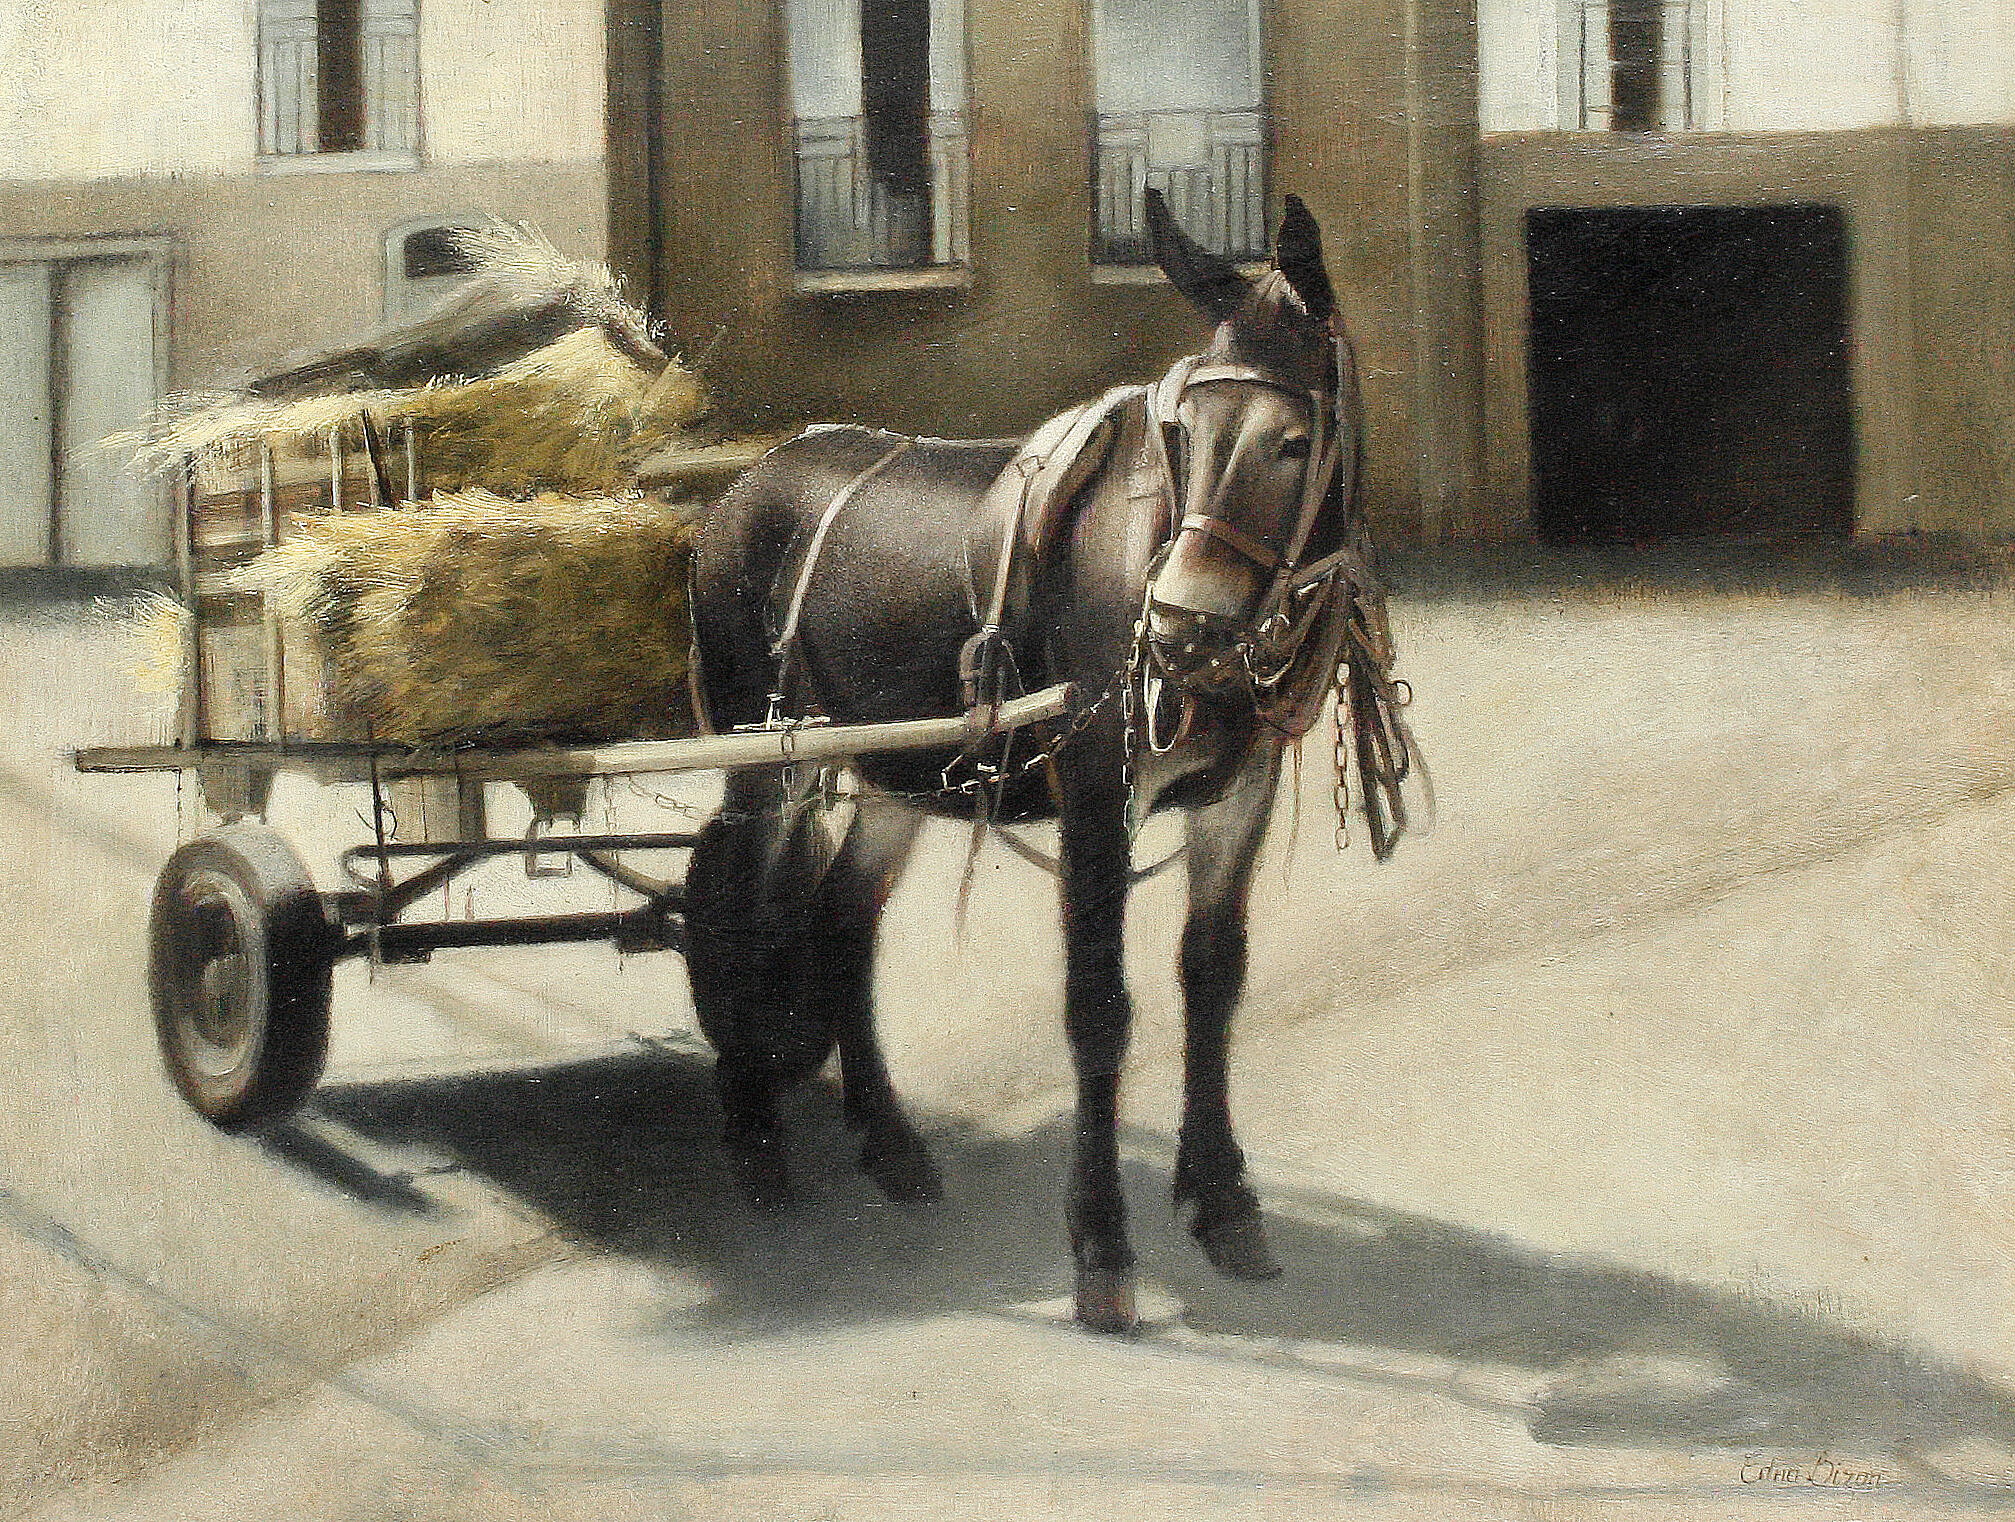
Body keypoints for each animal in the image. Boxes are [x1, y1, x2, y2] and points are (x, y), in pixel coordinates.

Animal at [685, 191, 1412, 1332]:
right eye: (1183, 435)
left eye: (1293, 442)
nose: (1179, 626)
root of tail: (749, 478)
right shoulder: (1098, 806)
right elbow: (1098, 1009)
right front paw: (1101, 1248)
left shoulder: (1236, 801)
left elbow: (1212, 980)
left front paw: (1222, 1201)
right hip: (769, 758)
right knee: (742, 911)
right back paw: (755, 1136)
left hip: (895, 773)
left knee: (841, 918)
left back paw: (888, 1143)